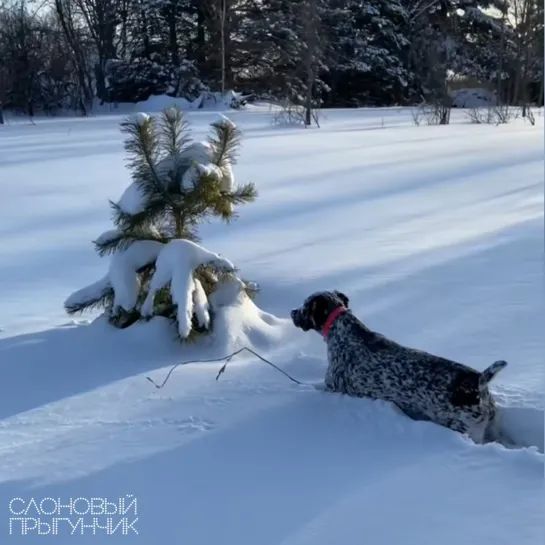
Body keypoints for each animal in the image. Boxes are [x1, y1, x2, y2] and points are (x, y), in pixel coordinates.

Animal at [292, 288, 508, 442]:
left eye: (304, 306)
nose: (292, 311)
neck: (343, 332)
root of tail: (477, 382)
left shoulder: (333, 389)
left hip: (467, 429)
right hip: (492, 429)